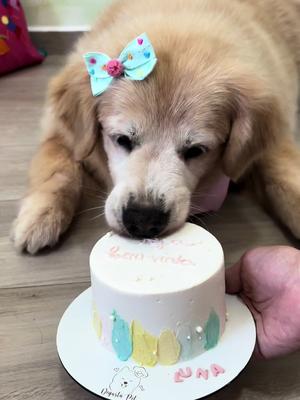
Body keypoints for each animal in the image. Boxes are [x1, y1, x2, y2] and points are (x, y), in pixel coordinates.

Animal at [10, 0, 300, 253]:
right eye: (122, 139)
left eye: (196, 150)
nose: (143, 218)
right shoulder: (60, 131)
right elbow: (57, 168)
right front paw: (39, 217)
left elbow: (282, 177)